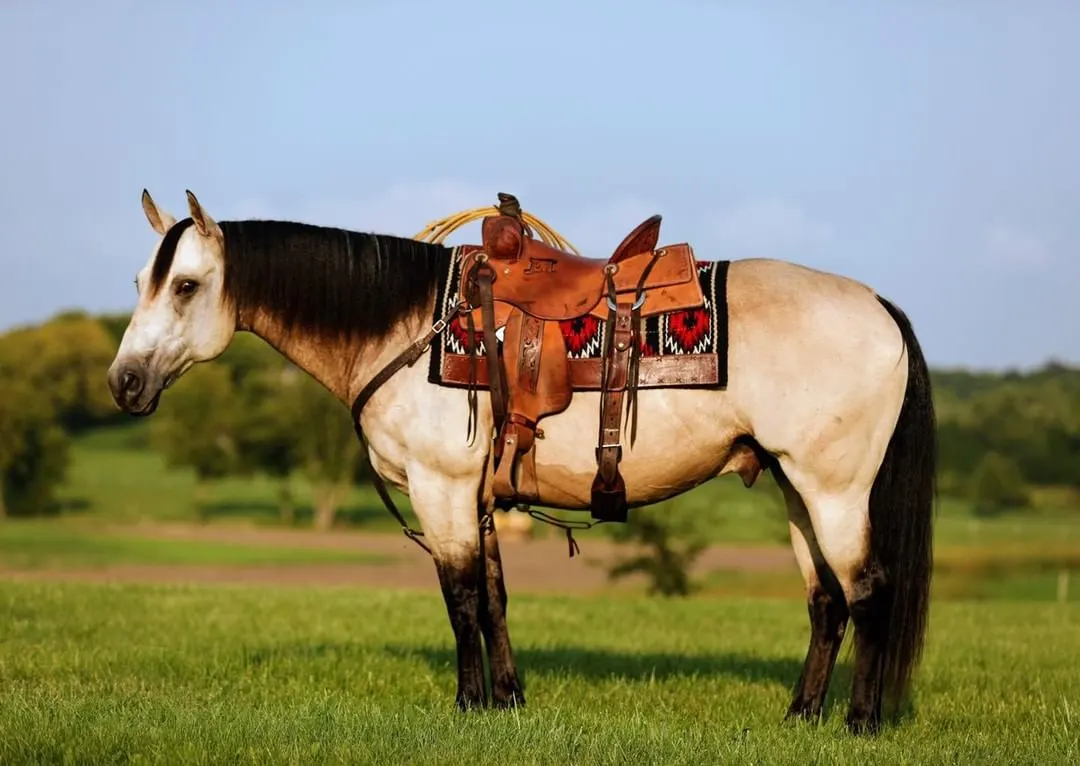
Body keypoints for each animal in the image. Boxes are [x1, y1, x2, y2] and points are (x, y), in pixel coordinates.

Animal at [107, 187, 937, 730]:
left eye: (186, 285)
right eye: (141, 281)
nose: (124, 383)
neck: (404, 328)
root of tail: (877, 304)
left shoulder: (441, 489)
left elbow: (461, 598)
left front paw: (469, 705)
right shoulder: (476, 498)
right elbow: (496, 598)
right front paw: (508, 700)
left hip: (834, 490)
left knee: (868, 591)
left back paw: (859, 722)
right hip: (797, 488)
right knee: (826, 601)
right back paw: (801, 715)